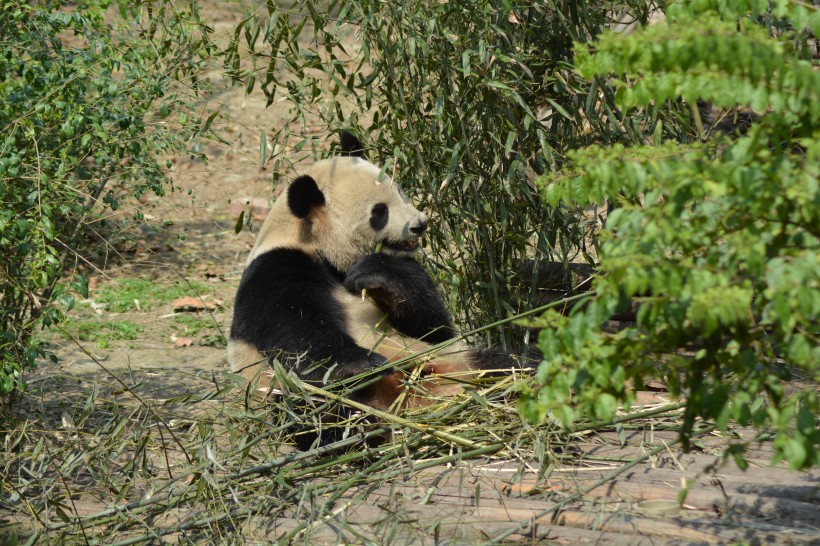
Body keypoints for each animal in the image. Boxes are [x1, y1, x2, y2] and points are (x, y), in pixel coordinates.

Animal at [227, 130, 516, 444]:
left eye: (401, 192)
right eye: (380, 212)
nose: (420, 224)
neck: (314, 244)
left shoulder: (401, 268)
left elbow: (434, 326)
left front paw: (374, 276)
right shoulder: (276, 266)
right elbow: (296, 330)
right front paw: (365, 363)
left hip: (456, 361)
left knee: (510, 362)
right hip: (281, 392)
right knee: (315, 409)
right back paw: (360, 429)